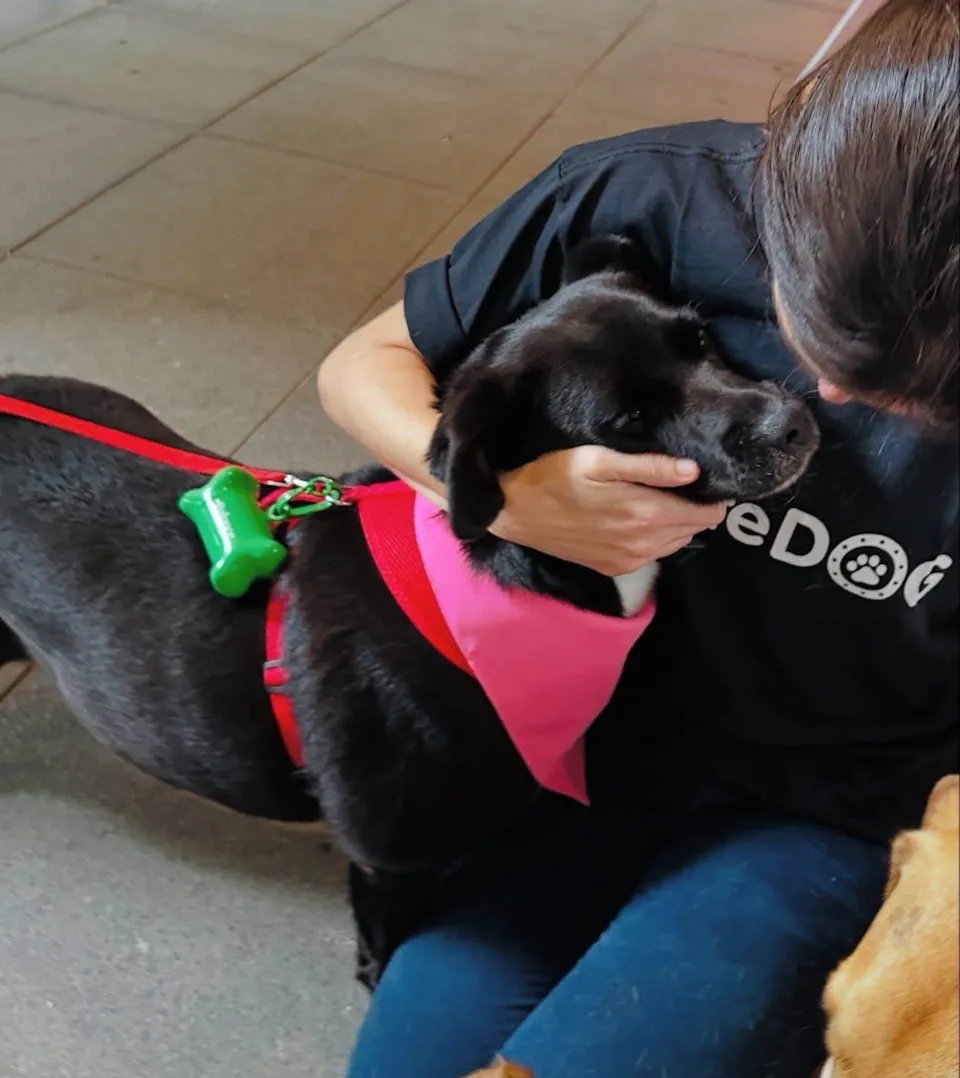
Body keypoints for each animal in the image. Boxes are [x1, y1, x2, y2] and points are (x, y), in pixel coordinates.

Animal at [0, 236, 818, 985]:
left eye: (700, 339)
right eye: (629, 420)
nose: (792, 425)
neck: (507, 580)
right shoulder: (392, 861)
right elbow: (386, 940)